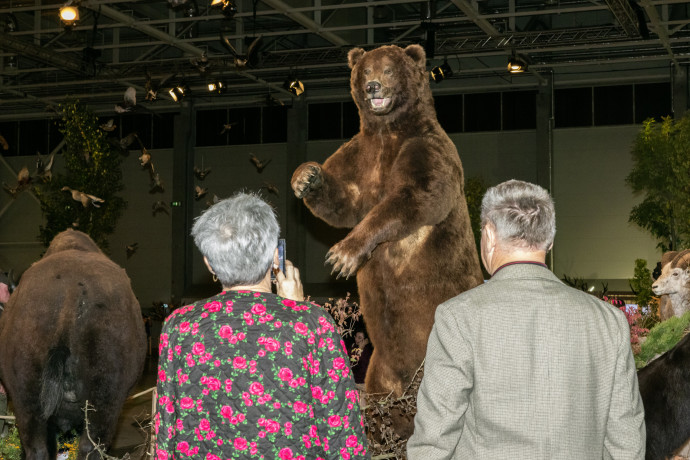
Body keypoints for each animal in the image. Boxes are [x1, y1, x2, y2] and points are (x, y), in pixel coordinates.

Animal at [292, 44, 482, 402]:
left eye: (389, 69)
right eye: (366, 70)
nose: (373, 87)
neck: (387, 130)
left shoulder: (427, 148)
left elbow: (413, 197)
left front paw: (342, 255)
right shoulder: (360, 155)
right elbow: (344, 200)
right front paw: (307, 176)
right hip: (383, 362)